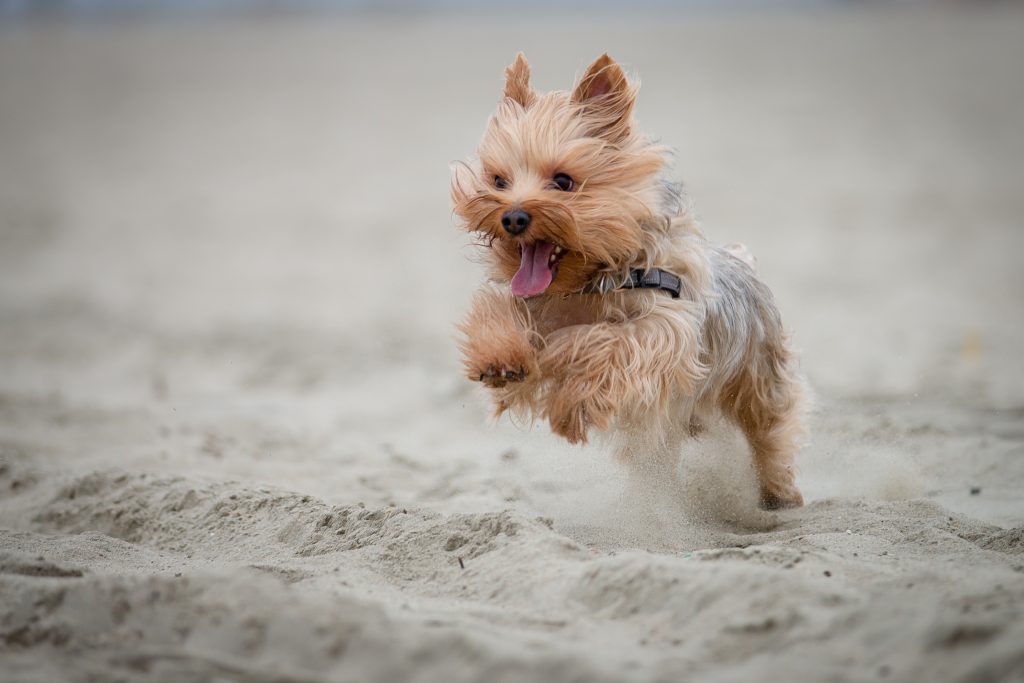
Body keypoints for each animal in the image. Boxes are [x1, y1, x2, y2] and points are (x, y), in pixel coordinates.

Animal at [452, 56, 802, 509]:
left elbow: (613, 342)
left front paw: (573, 404)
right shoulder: (536, 307)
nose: (512, 217)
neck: (590, 279)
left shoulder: (666, 328)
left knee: (770, 428)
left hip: (759, 377)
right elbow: (502, 315)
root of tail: (742, 260)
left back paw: (779, 491)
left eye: (563, 181)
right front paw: (500, 358)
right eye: (498, 181)